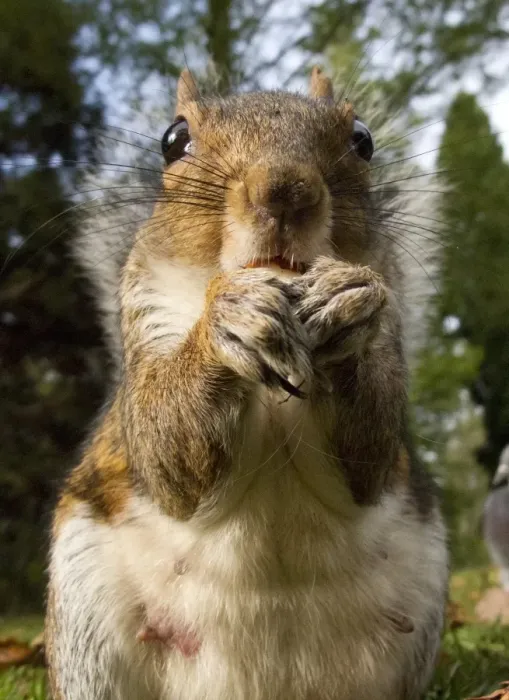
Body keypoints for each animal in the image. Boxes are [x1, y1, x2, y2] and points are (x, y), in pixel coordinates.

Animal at [46, 67, 448, 700]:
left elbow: (371, 451)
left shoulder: (389, 331)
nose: (284, 190)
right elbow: (164, 448)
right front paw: (227, 318)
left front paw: (344, 300)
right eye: (173, 140)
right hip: (86, 619)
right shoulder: (148, 315)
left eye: (362, 139)